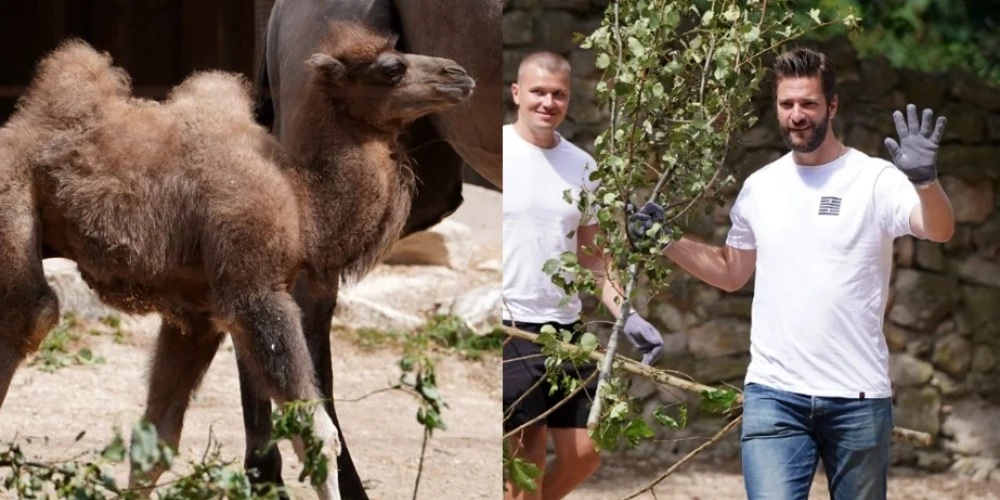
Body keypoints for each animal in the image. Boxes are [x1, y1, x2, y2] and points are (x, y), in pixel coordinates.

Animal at [0, 20, 474, 500]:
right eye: (392, 68)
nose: (458, 74)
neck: (303, 208)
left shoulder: (199, 315)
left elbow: (157, 439)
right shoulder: (255, 292)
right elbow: (317, 433)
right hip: (11, 198)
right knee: (32, 312)